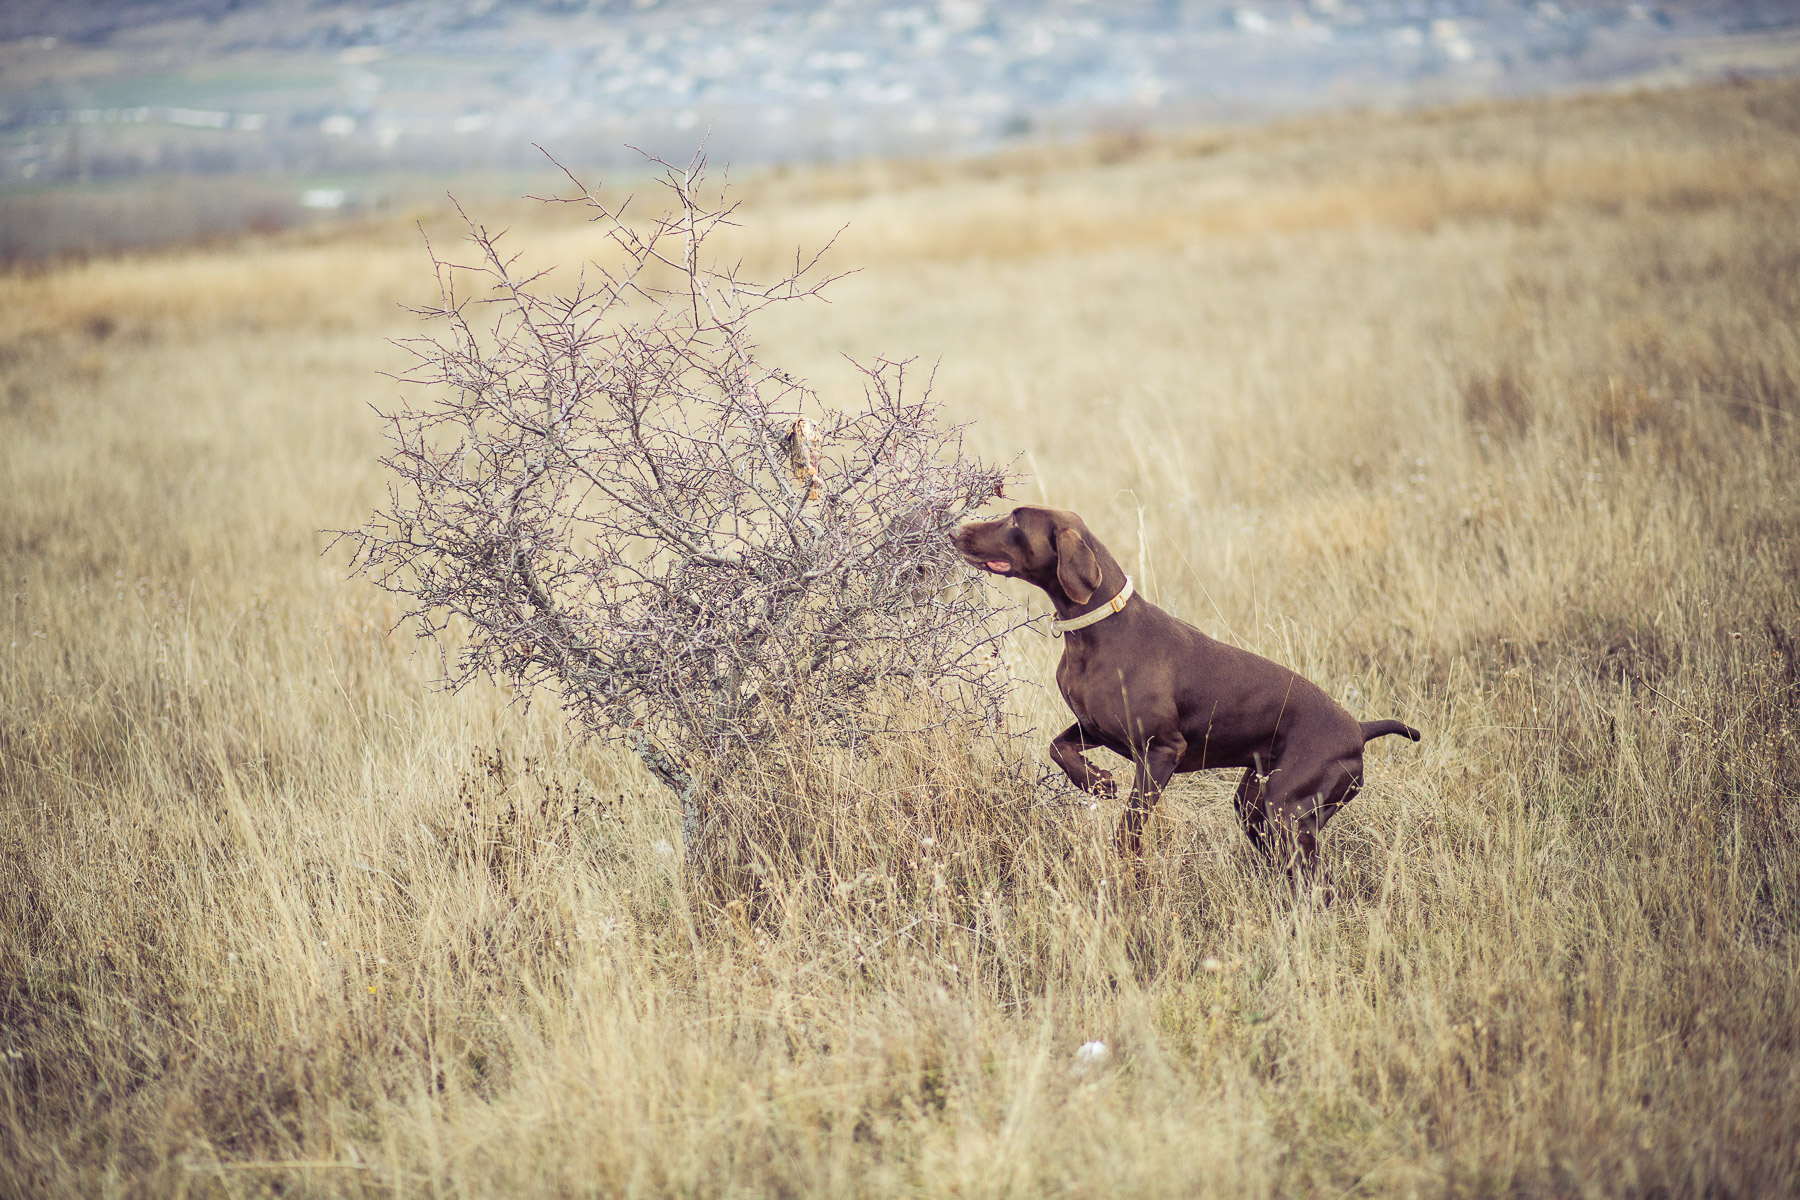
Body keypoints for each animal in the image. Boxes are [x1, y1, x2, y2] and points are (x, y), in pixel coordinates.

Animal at [957, 503, 1418, 892]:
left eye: (1015, 520)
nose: (957, 529)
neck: (1098, 629)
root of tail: (1359, 728)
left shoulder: (1161, 750)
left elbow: (1130, 826)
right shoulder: (1096, 729)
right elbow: (1057, 747)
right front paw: (1096, 781)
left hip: (1287, 808)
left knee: (1316, 884)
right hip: (1255, 805)